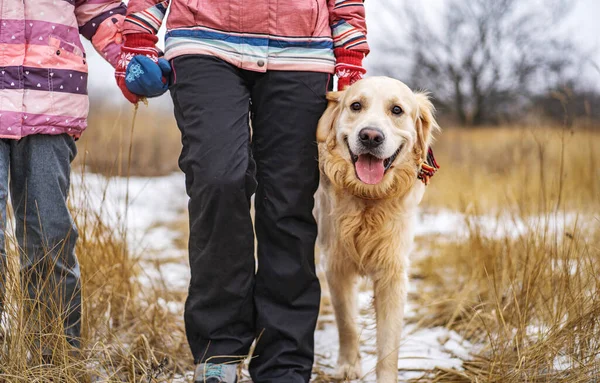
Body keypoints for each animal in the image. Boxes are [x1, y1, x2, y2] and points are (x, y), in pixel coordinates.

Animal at [314, 76, 440, 382]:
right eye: (356, 106)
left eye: (396, 110)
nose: (370, 136)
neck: (368, 198)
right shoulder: (336, 264)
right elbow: (346, 322)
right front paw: (348, 366)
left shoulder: (392, 270)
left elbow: (389, 340)